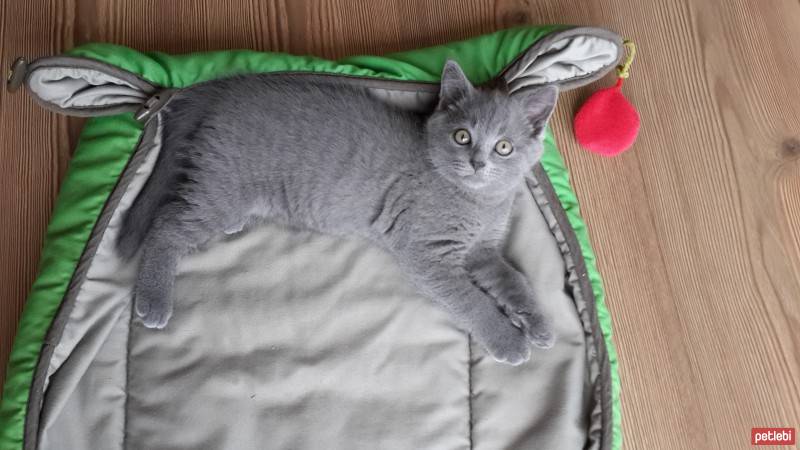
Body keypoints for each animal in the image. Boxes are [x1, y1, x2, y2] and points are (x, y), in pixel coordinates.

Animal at [119, 59, 556, 364]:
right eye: (462, 136)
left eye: (504, 147)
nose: (478, 162)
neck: (478, 201)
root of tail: (223, 92)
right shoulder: (428, 255)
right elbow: (471, 300)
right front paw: (508, 340)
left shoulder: (483, 251)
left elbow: (514, 280)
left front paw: (537, 322)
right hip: (222, 188)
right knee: (167, 223)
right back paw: (154, 299)